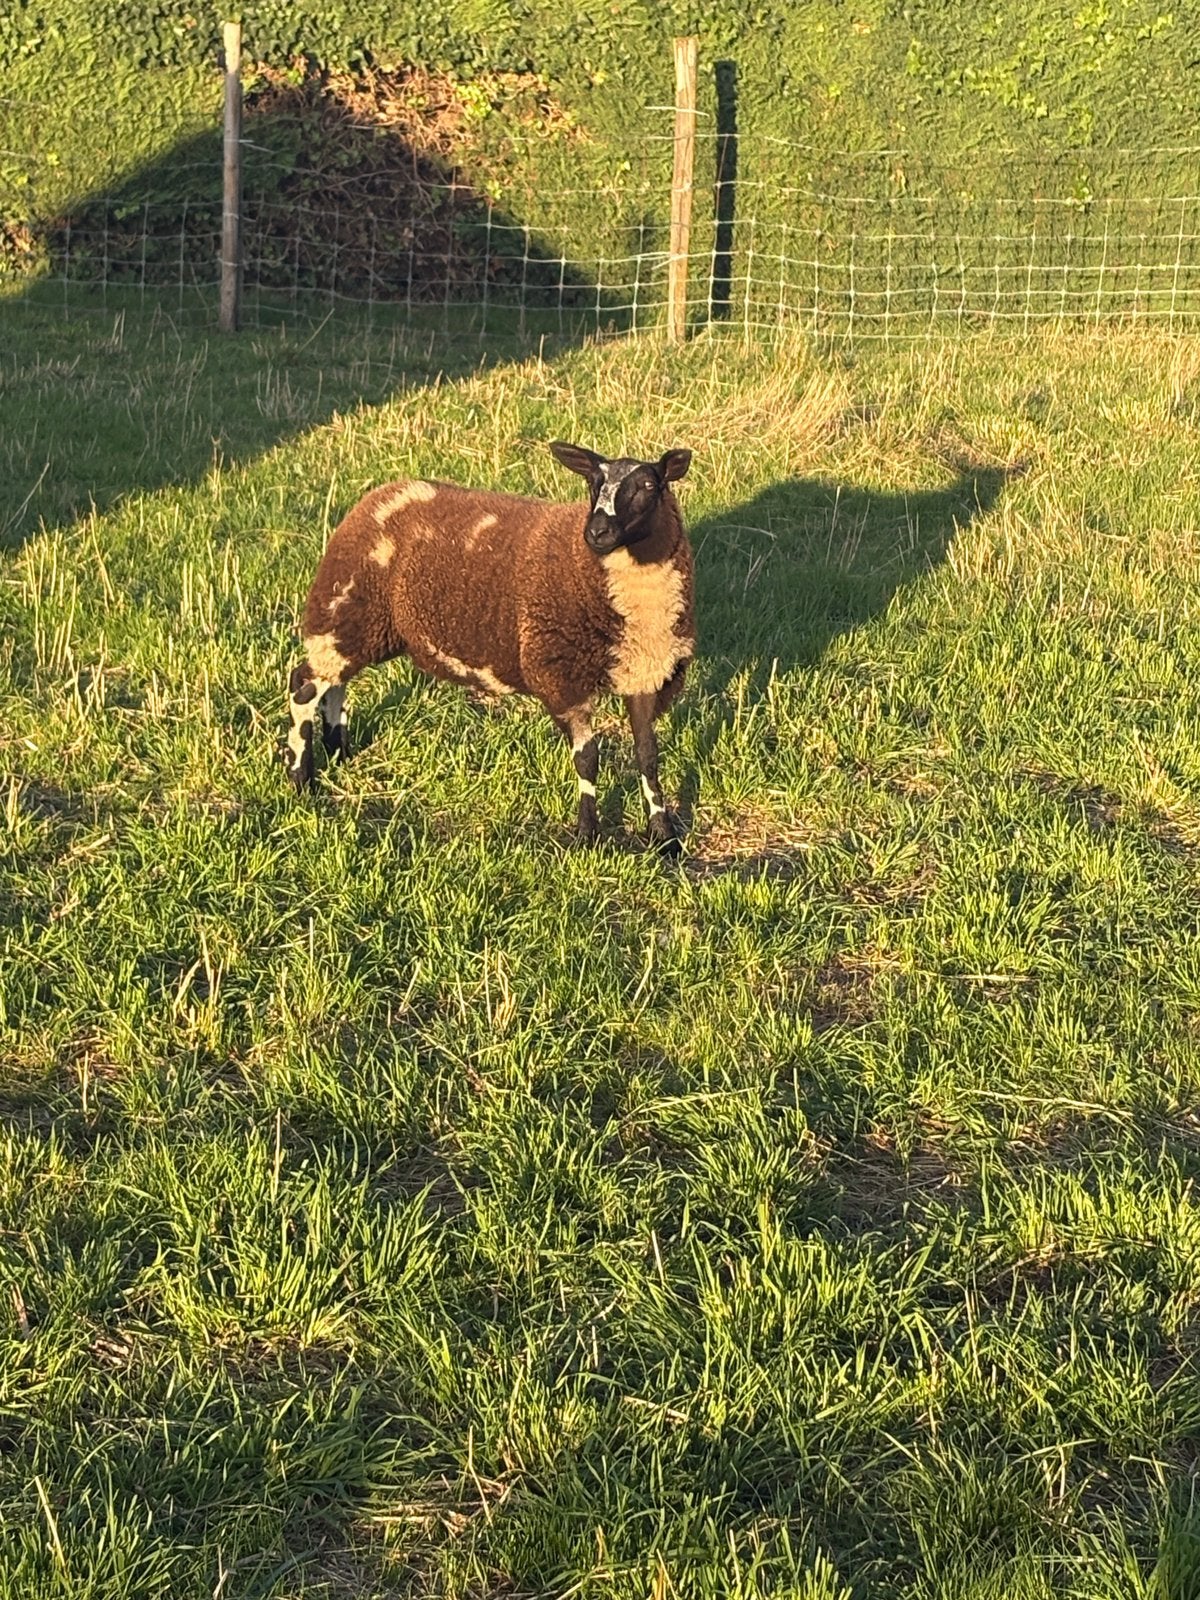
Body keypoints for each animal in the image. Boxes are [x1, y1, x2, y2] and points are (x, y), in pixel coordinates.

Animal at [284, 440, 695, 852]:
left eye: (648, 485)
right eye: (593, 483)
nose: (597, 532)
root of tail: (381, 495)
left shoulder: (646, 672)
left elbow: (648, 756)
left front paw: (664, 837)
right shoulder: (562, 677)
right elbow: (587, 759)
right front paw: (587, 835)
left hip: (359, 625)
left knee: (335, 684)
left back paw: (340, 752)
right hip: (347, 610)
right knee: (303, 686)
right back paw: (302, 778)